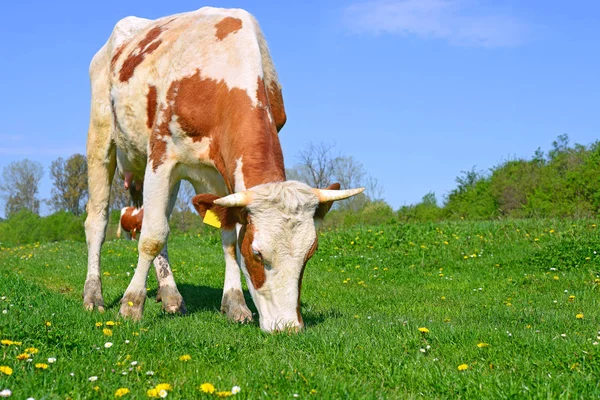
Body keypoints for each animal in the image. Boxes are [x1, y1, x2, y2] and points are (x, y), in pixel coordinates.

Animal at [83, 6, 366, 332]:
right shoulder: (162, 156)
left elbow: (228, 237)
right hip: (102, 138)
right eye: (257, 253)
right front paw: (131, 305)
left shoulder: (223, 176)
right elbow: (152, 236)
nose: (288, 327)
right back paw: (93, 296)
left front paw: (235, 304)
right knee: (99, 222)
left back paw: (170, 296)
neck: (224, 74)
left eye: (310, 254)